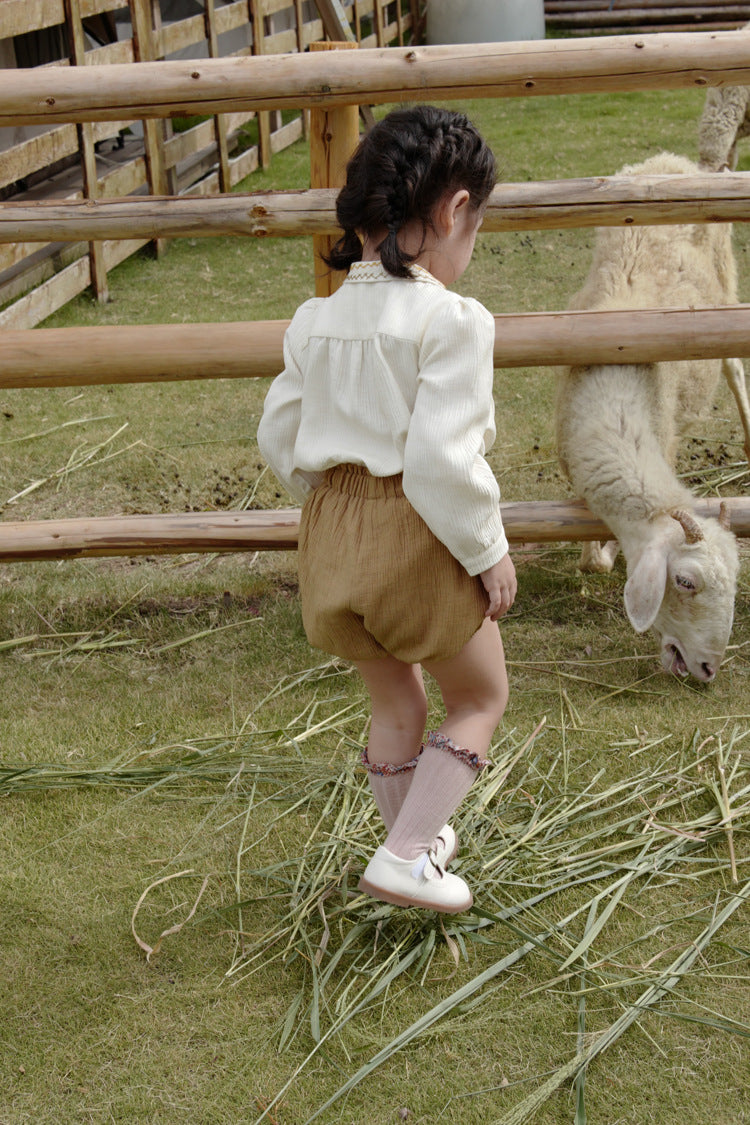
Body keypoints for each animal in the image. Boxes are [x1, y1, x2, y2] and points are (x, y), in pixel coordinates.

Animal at [555, 153, 746, 679]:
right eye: (685, 582)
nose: (709, 669)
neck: (615, 402)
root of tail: (671, 161)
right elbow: (591, 561)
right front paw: (600, 553)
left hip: (725, 293)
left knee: (734, 365)